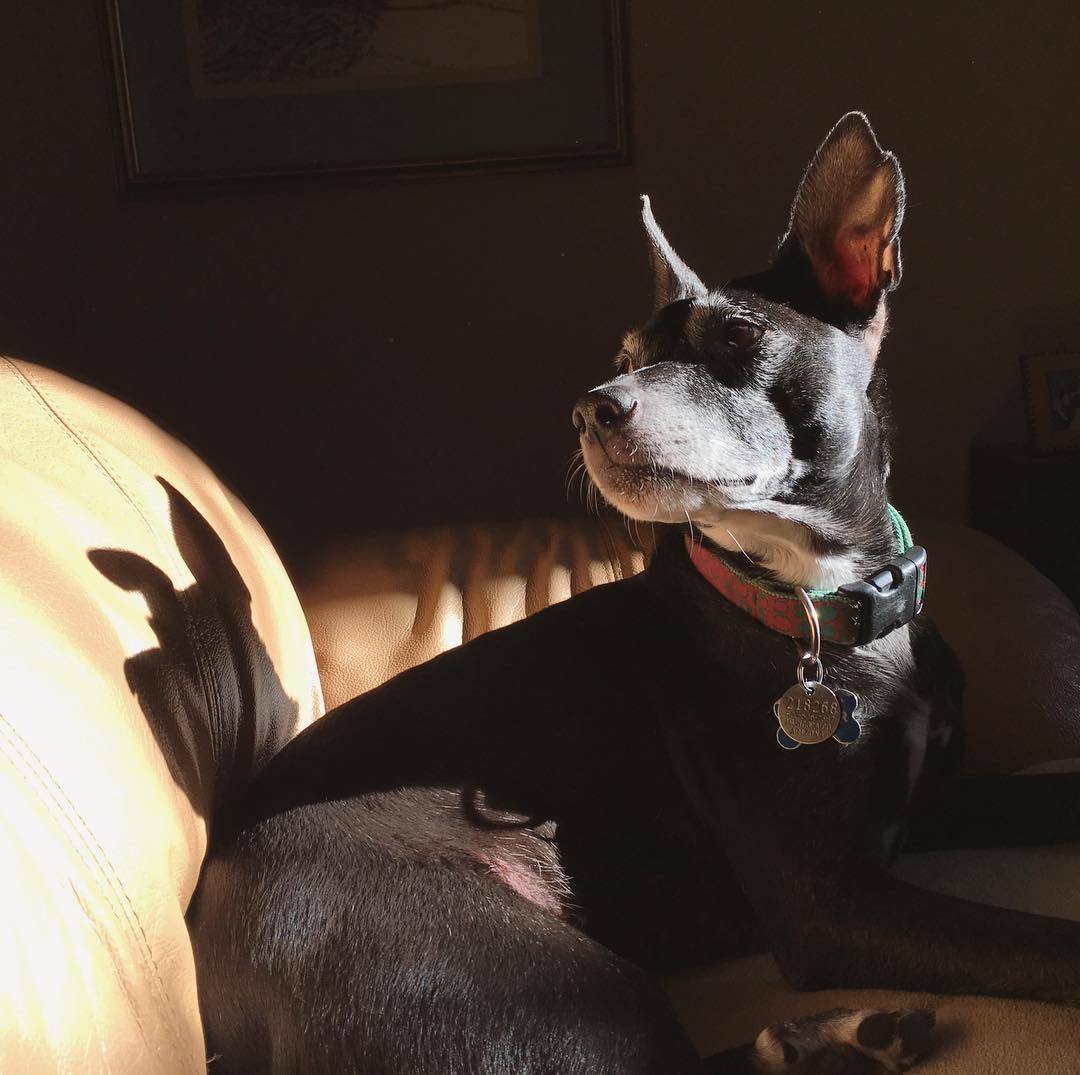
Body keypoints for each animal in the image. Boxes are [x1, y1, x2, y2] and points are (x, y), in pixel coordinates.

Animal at [190, 113, 1080, 1071]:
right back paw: (841, 1036)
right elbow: (1039, 939)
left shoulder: (932, 802)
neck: (817, 608)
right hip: (525, 974)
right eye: (621, 359)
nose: (590, 409)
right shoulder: (831, 902)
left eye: (737, 338)